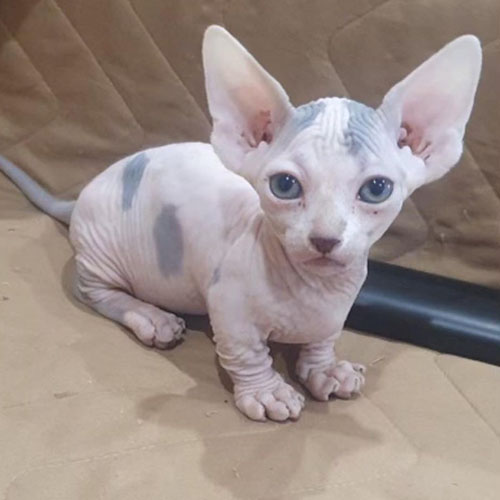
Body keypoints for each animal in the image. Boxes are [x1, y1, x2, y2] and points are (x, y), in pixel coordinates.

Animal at [0, 26, 482, 421]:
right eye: (285, 185)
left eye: (377, 189)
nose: (325, 239)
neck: (315, 289)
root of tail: (83, 192)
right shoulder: (229, 305)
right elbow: (246, 352)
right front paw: (268, 392)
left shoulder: (334, 313)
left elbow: (322, 340)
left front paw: (326, 370)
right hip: (101, 253)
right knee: (96, 292)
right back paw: (151, 318)